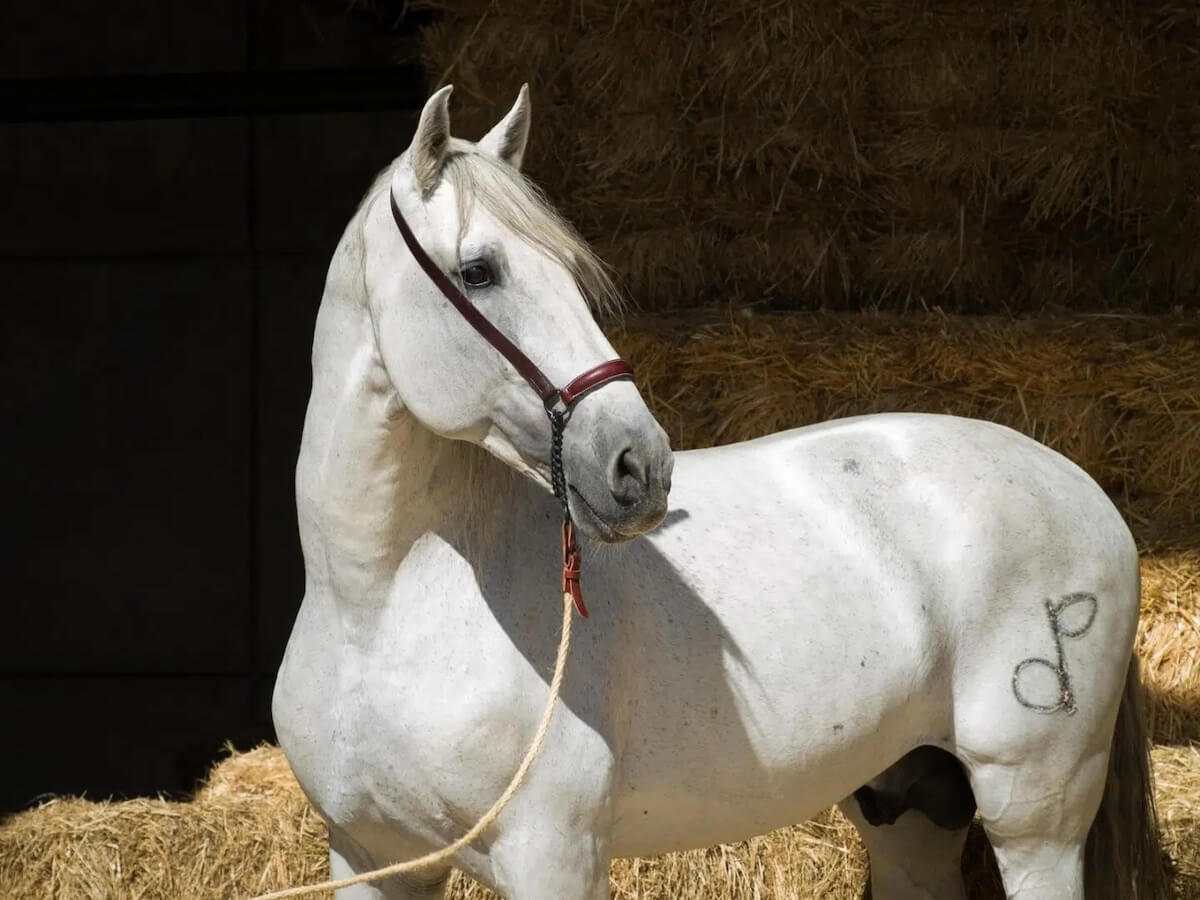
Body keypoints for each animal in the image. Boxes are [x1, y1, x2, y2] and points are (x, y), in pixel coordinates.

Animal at [272, 84, 1165, 899]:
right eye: (479, 272)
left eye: (569, 272)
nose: (638, 467)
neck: (381, 608)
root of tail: (1079, 485)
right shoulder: (371, 858)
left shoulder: (551, 858)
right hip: (910, 805)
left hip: (1033, 820)